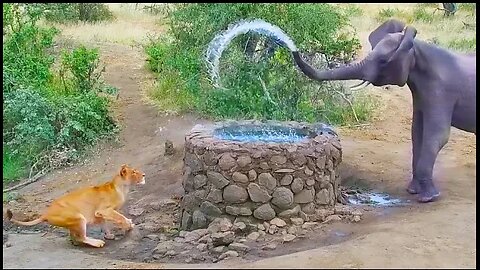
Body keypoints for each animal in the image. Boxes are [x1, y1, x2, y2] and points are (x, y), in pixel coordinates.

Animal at [290, 19, 474, 202]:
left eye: (384, 61)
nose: (293, 47)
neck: (417, 48)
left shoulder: (441, 92)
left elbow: (437, 136)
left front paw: (428, 198)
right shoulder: (421, 94)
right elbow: (417, 133)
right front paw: (413, 191)